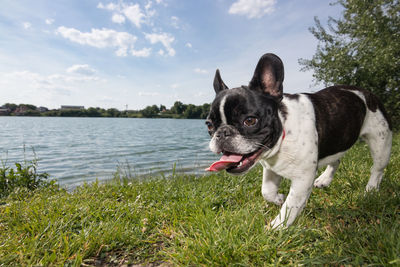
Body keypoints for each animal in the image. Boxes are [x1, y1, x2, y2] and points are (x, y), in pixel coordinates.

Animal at [205, 53, 392, 229]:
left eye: (250, 121)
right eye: (209, 125)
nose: (222, 133)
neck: (284, 133)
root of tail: (366, 93)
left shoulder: (303, 178)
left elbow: (290, 206)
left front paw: (274, 229)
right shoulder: (270, 168)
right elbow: (267, 191)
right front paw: (278, 198)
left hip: (381, 142)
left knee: (377, 169)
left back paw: (371, 190)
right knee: (336, 160)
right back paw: (324, 180)